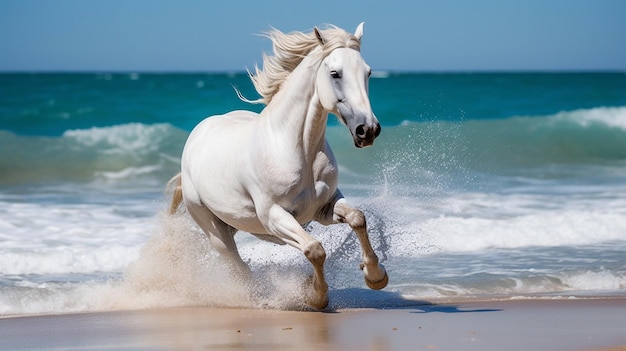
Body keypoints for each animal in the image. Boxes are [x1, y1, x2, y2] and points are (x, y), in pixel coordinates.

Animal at [168, 22, 388, 310]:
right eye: (335, 73)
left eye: (368, 72)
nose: (368, 130)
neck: (297, 150)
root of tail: (197, 134)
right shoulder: (275, 217)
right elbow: (315, 250)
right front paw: (315, 296)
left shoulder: (323, 208)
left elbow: (357, 218)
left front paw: (376, 276)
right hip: (214, 230)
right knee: (239, 268)